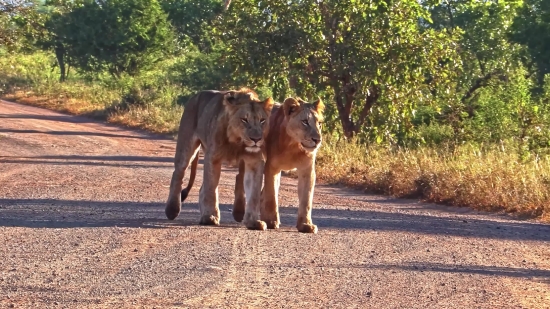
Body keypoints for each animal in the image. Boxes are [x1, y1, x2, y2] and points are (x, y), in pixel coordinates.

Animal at [164, 88, 276, 230]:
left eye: (262, 120)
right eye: (244, 120)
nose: (256, 139)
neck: (237, 141)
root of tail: (196, 95)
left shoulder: (255, 162)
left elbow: (254, 194)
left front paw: (254, 221)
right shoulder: (213, 158)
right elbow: (211, 189)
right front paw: (210, 217)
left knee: (199, 187)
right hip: (186, 146)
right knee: (178, 174)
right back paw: (172, 210)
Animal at [232, 97, 324, 232]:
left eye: (319, 123)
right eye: (305, 122)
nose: (317, 140)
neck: (294, 145)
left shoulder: (307, 170)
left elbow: (306, 200)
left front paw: (306, 225)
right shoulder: (272, 167)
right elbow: (271, 196)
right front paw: (271, 221)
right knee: (240, 177)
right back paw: (238, 213)